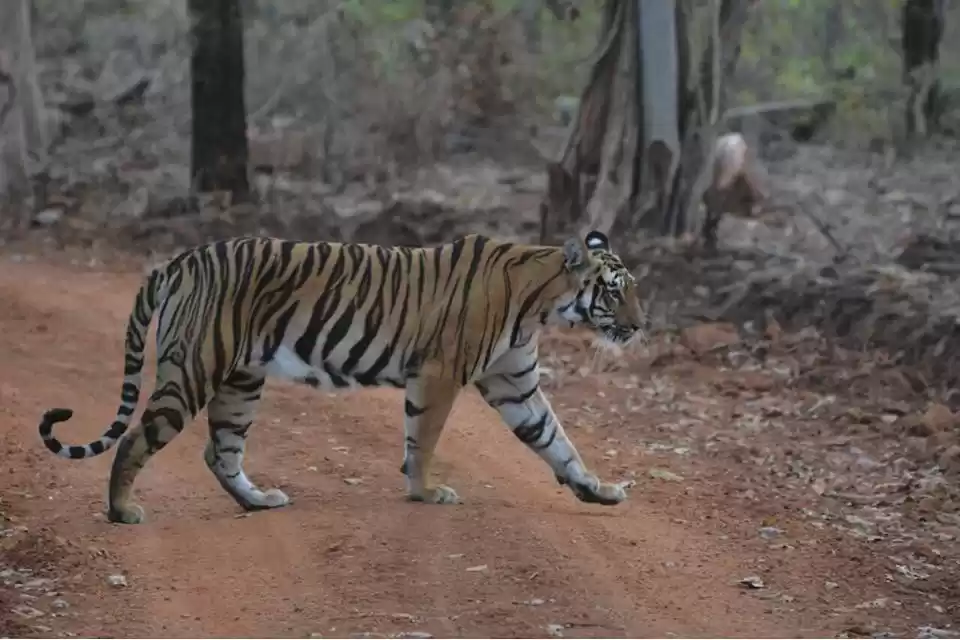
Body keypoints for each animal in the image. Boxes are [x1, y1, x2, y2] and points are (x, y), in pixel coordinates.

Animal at [41, 230, 648, 524]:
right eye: (614, 290)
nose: (643, 326)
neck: (541, 303)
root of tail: (180, 260)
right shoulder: (438, 374)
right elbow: (423, 440)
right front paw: (425, 493)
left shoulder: (515, 381)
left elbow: (557, 441)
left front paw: (597, 490)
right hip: (194, 368)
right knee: (136, 440)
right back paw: (122, 512)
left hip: (241, 380)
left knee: (220, 451)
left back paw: (258, 502)